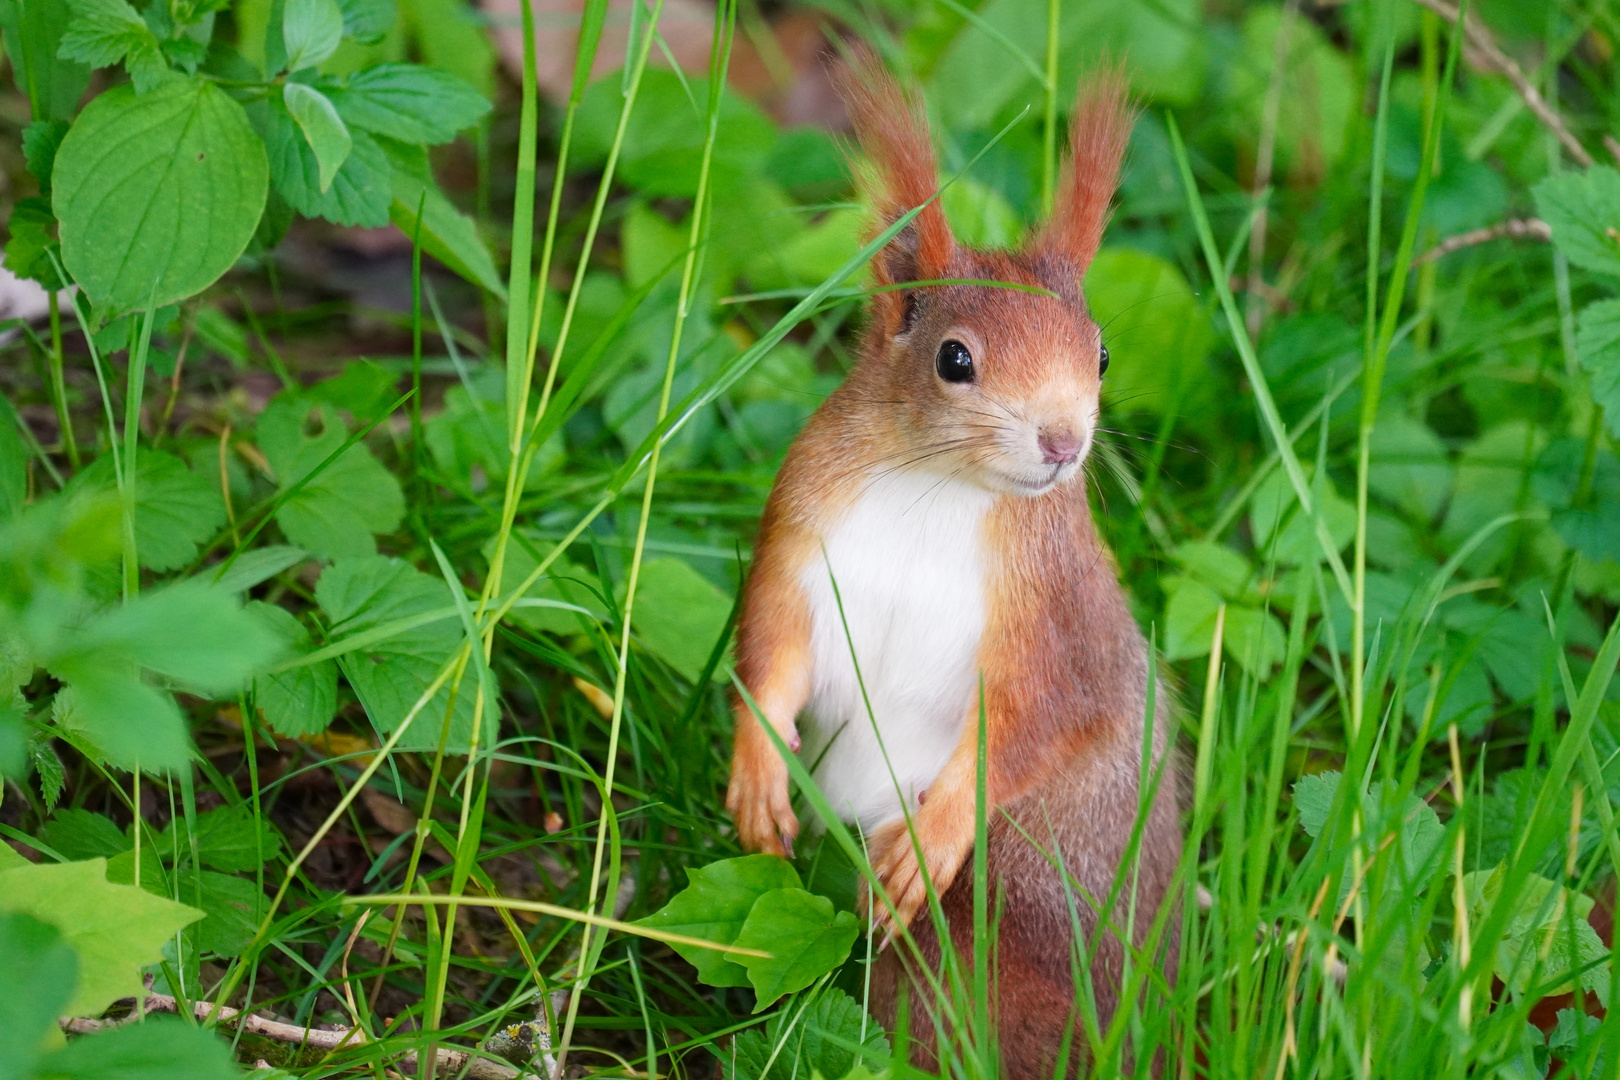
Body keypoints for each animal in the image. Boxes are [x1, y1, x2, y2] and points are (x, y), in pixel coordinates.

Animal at [729, 55, 1185, 1075]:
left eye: (1101, 353)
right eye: (954, 359)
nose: (1063, 442)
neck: (936, 489)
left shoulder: (1056, 618)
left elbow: (1039, 724)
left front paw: (929, 839)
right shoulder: (800, 541)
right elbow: (773, 653)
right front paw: (758, 774)